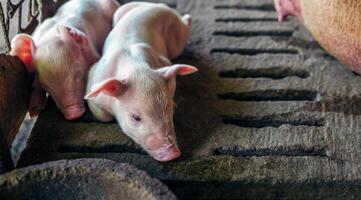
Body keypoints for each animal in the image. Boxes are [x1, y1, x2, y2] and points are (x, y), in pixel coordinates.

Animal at [84, 2, 197, 162]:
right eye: (136, 118)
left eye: (168, 109)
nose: (173, 154)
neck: (136, 69)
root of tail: (159, 5)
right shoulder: (93, 79)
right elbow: (102, 116)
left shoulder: (165, 63)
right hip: (120, 12)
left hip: (176, 39)